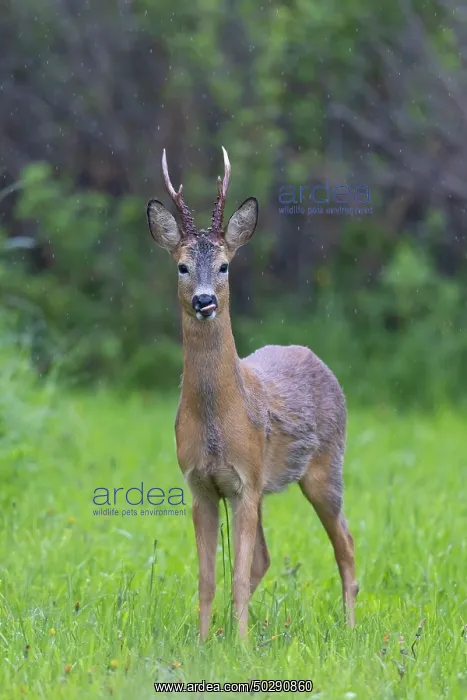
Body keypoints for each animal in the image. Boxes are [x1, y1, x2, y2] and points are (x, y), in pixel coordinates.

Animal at [146, 148, 358, 641]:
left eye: (224, 265)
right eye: (182, 265)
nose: (205, 302)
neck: (218, 420)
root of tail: (316, 359)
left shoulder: (246, 480)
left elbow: (238, 575)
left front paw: (239, 646)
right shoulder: (200, 485)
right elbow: (208, 577)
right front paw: (205, 642)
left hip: (325, 469)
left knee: (346, 543)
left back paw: (349, 627)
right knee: (266, 556)